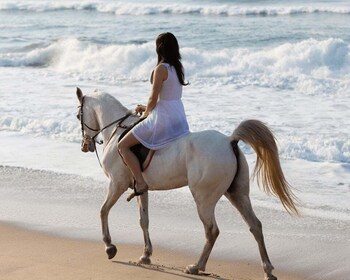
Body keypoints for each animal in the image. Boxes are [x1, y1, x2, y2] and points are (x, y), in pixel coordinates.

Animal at [76, 87, 298, 280]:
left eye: (78, 116)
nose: (85, 146)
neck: (116, 131)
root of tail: (229, 141)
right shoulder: (141, 189)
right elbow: (143, 220)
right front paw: (146, 255)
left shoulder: (117, 184)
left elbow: (103, 210)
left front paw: (109, 247)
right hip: (237, 194)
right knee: (255, 226)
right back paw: (268, 270)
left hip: (204, 199)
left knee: (212, 230)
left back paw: (196, 266)